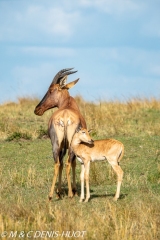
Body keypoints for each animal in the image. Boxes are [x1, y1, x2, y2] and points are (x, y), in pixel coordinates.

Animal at [34, 68, 86, 200]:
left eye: (51, 90)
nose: (37, 109)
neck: (68, 105)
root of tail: (65, 117)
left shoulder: (62, 146)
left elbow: (61, 163)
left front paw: (59, 191)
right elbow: (73, 163)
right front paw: (73, 190)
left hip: (56, 144)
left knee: (57, 163)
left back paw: (51, 195)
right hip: (71, 145)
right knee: (68, 163)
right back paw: (71, 194)